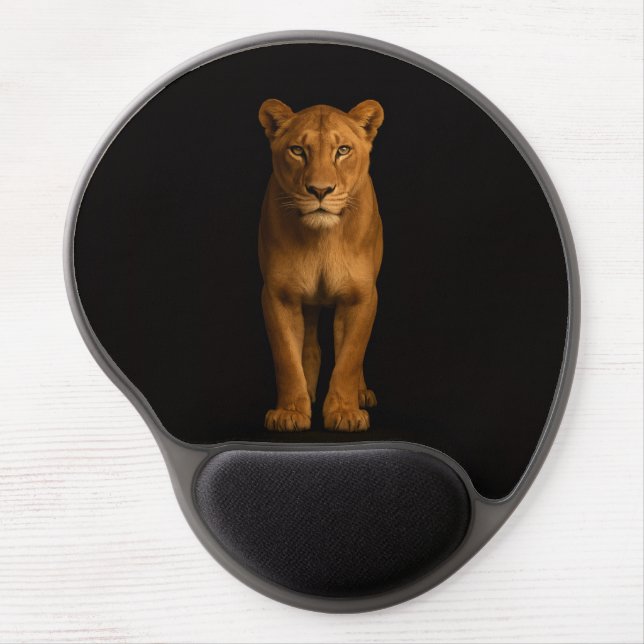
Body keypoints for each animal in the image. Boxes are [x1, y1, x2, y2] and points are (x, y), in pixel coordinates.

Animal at [258, 98, 384, 432]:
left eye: (343, 150)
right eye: (297, 150)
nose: (320, 190)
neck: (322, 239)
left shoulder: (361, 297)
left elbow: (350, 357)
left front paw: (345, 412)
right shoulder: (279, 295)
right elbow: (287, 358)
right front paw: (290, 412)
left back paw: (360, 394)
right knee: (310, 346)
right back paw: (309, 393)